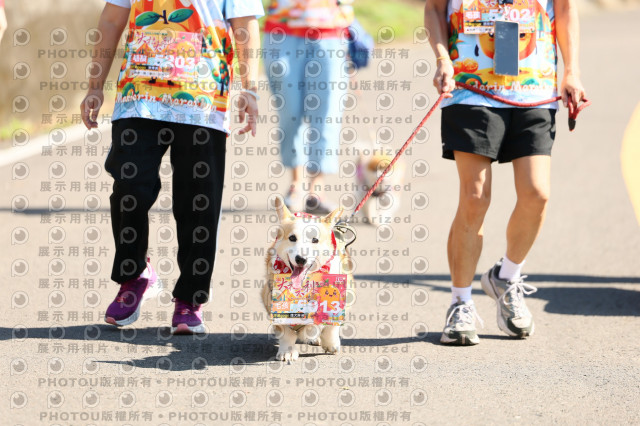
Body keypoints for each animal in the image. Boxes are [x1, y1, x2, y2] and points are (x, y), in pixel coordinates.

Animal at [262, 195, 349, 362]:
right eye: (292, 238)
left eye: (315, 240)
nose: (301, 259)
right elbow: (287, 333)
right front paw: (287, 352)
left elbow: (331, 327)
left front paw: (331, 344)